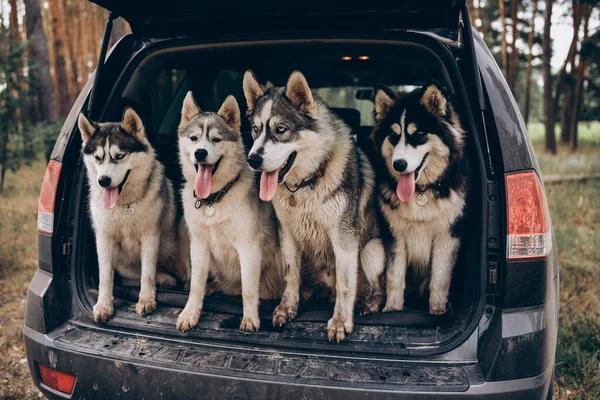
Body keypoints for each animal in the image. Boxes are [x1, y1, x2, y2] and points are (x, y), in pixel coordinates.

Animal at [78, 108, 189, 324]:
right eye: (98, 158)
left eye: (119, 156)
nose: (103, 181)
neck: (125, 205)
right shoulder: (104, 238)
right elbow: (105, 275)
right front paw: (104, 304)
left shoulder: (150, 236)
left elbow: (147, 272)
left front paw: (146, 300)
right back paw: (164, 279)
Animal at [176, 92, 284, 332]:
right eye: (194, 138)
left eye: (216, 139)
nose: (200, 153)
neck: (214, 199)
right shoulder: (198, 245)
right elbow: (196, 285)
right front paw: (190, 313)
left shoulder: (248, 247)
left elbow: (248, 290)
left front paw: (250, 318)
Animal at [243, 70, 384, 342]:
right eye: (255, 130)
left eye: (280, 130)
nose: (252, 160)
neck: (306, 183)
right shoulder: (287, 234)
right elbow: (291, 275)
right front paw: (288, 306)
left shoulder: (344, 238)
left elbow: (345, 285)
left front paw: (340, 322)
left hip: (372, 251)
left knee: (374, 289)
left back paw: (370, 302)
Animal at [370, 83, 468, 316]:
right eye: (393, 135)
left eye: (420, 134)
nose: (399, 165)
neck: (421, 191)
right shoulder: (394, 235)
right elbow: (395, 276)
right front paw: (392, 308)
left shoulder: (446, 235)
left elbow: (440, 277)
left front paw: (438, 310)